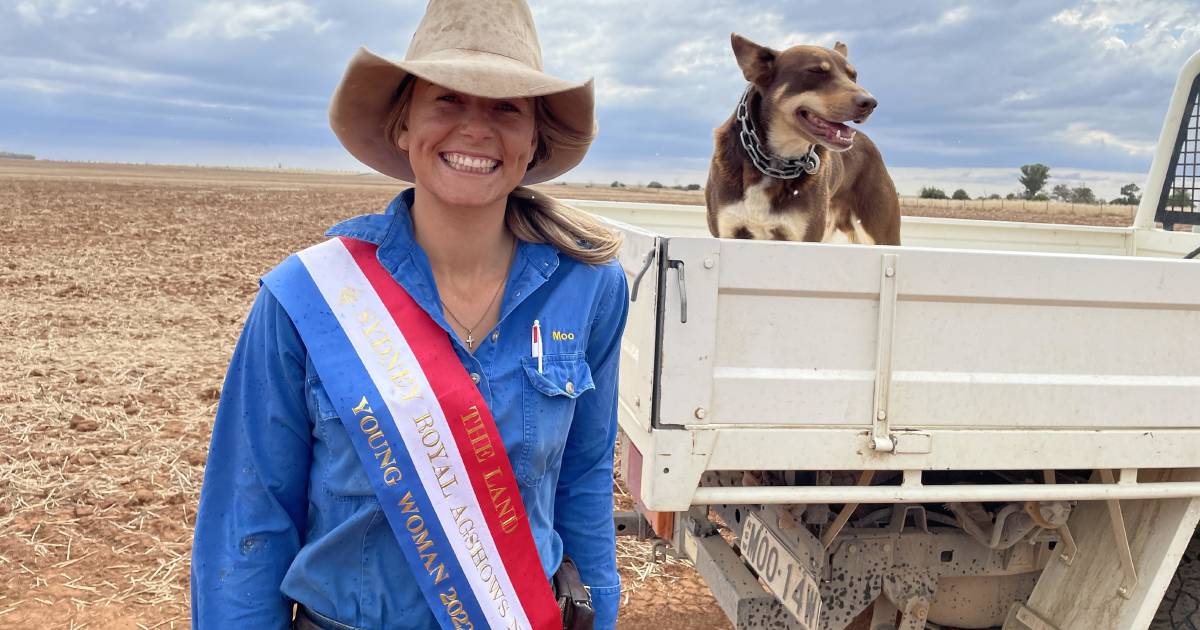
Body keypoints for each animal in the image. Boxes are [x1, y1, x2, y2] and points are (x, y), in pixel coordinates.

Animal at [705, 33, 897, 246]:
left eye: (853, 76)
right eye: (816, 71)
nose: (870, 103)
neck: (776, 160)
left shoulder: (803, 237)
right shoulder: (728, 231)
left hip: (882, 233)